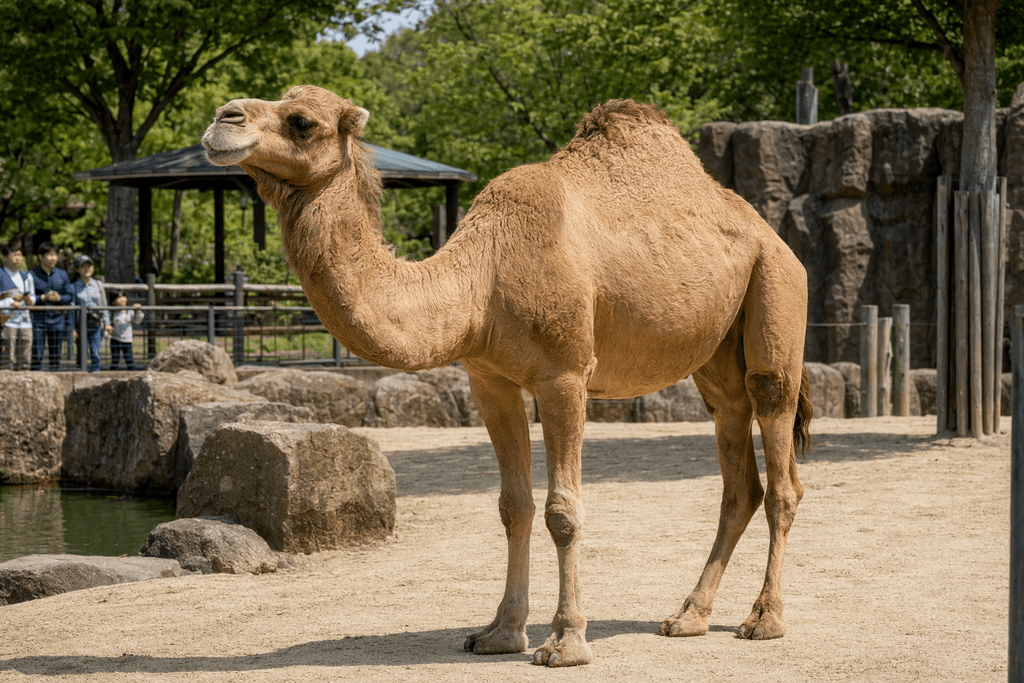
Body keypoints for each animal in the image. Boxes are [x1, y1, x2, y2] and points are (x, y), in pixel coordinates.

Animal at [202, 85, 812, 668]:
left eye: (302, 120)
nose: (222, 118)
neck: (482, 276)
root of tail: (772, 235)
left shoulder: (564, 374)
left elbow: (562, 510)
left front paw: (565, 642)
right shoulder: (489, 380)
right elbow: (513, 505)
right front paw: (500, 632)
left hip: (776, 296)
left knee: (780, 459)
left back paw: (764, 620)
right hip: (716, 358)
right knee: (738, 467)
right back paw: (687, 616)